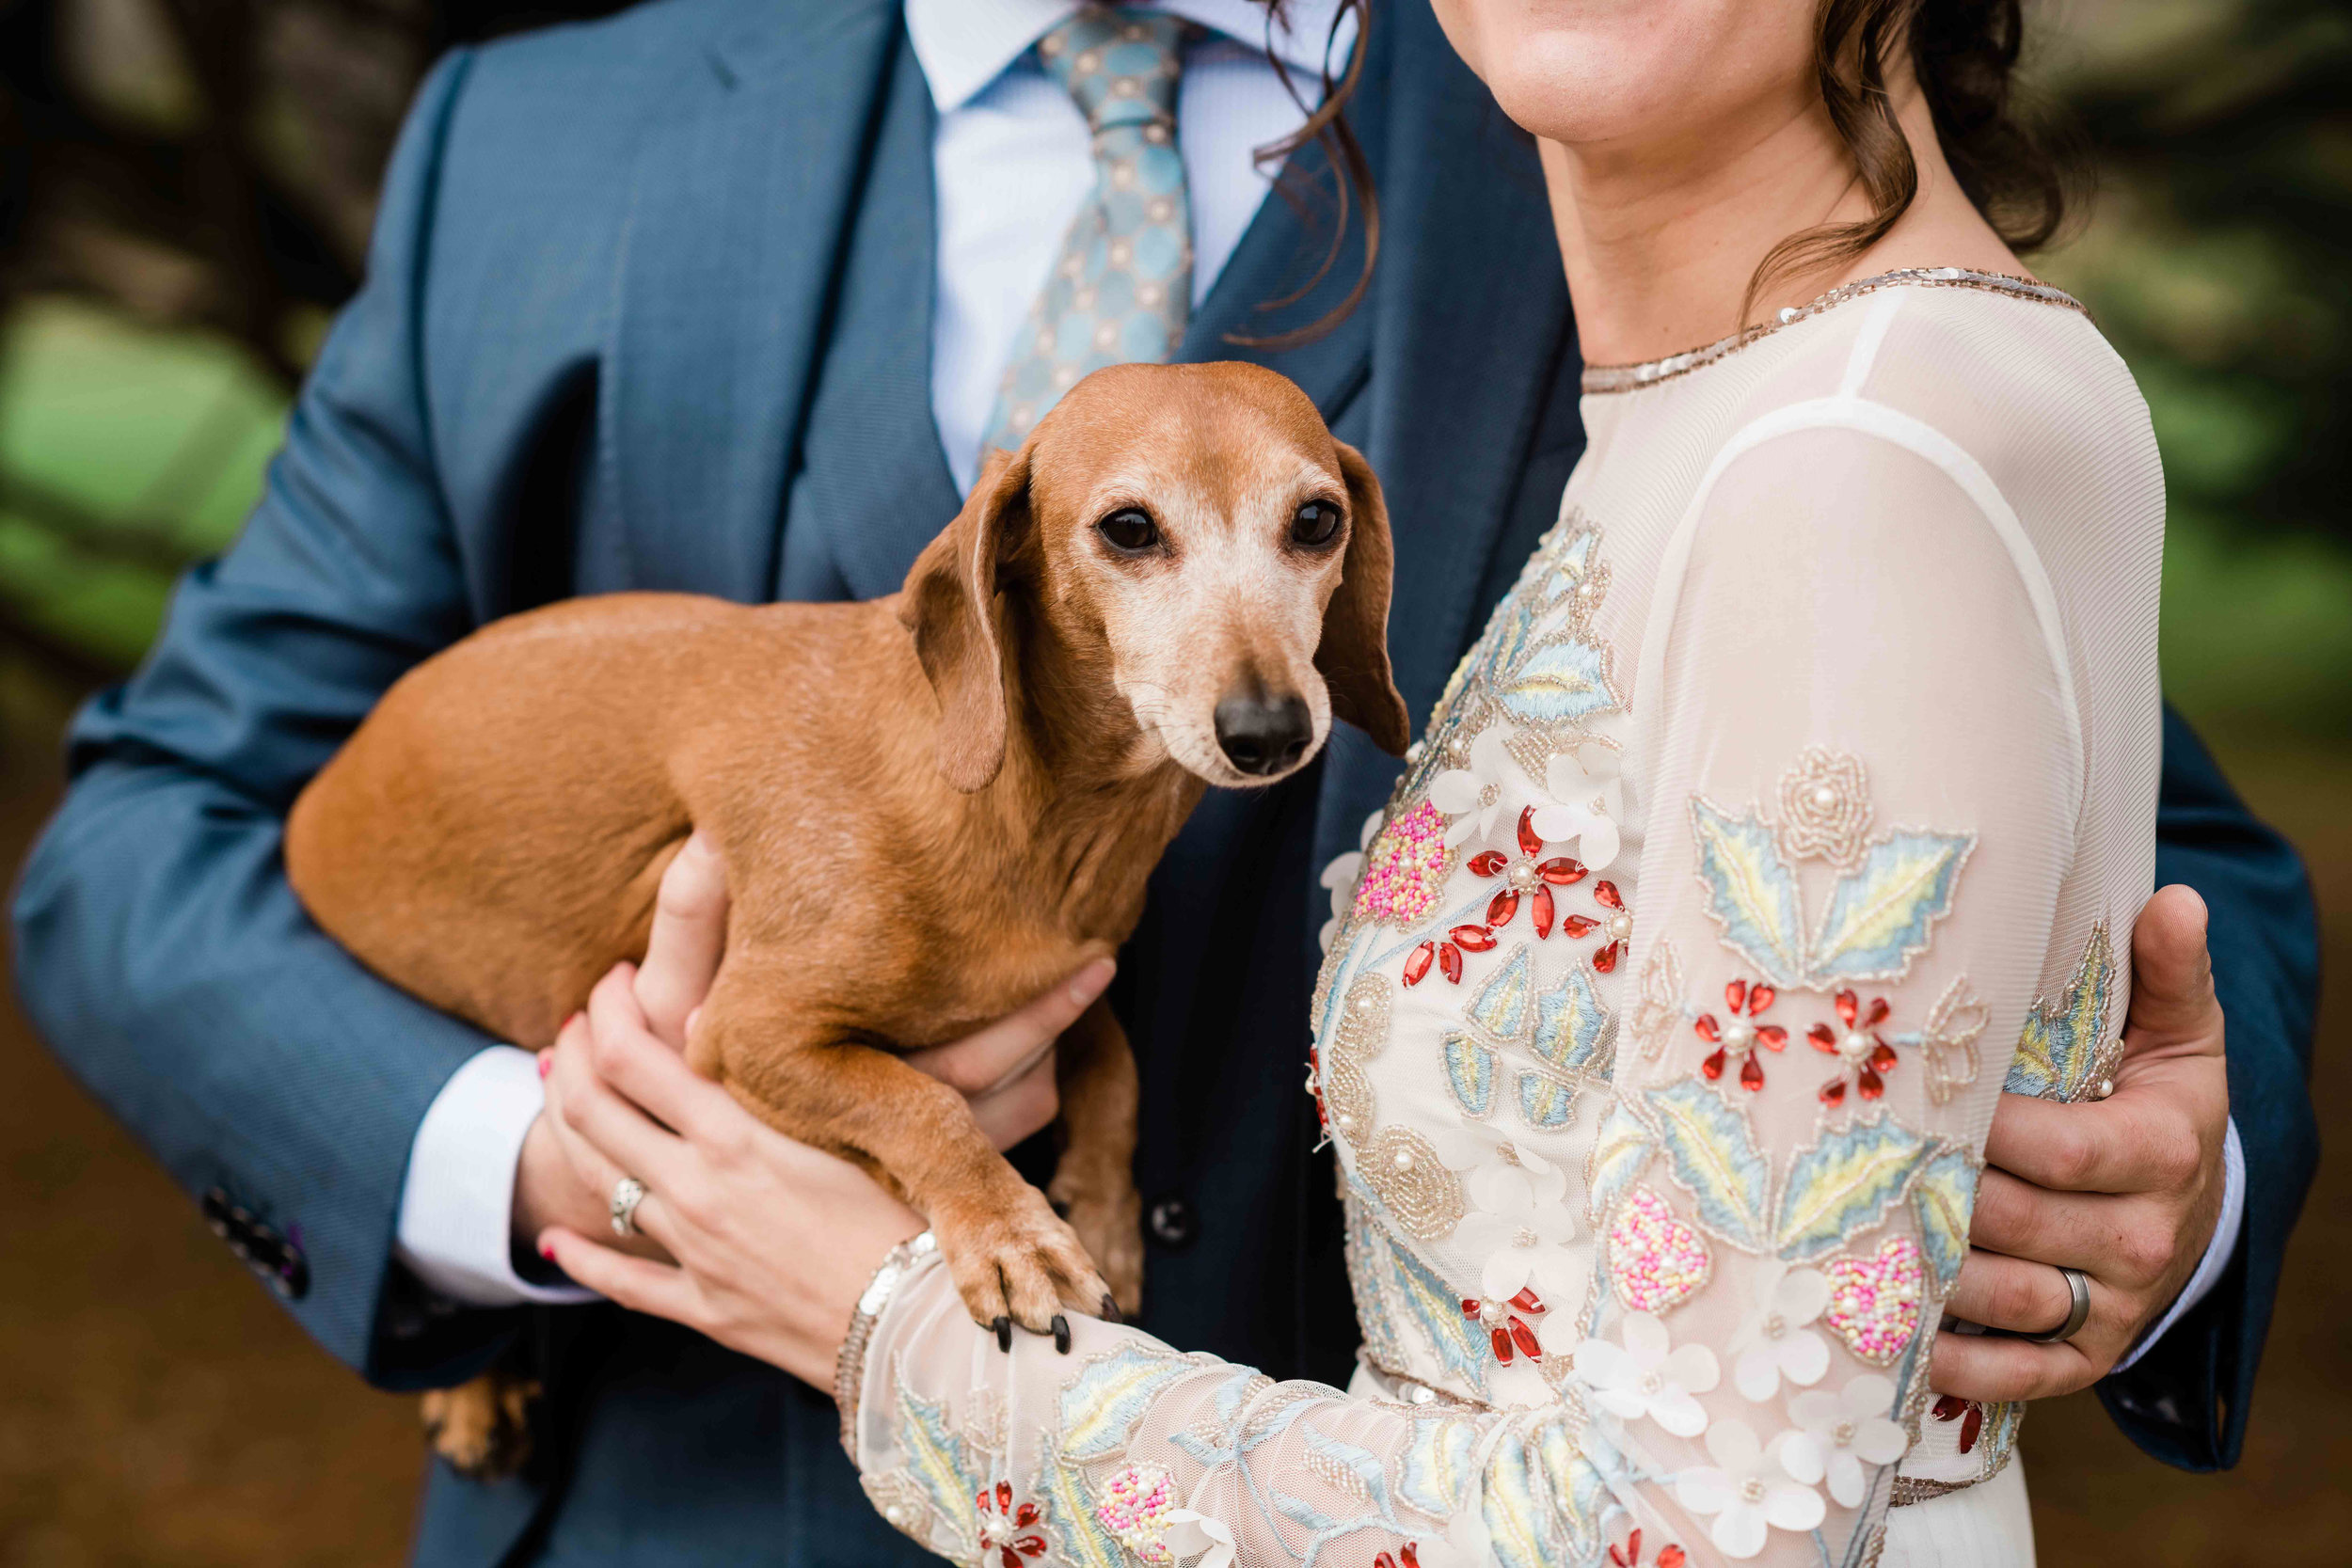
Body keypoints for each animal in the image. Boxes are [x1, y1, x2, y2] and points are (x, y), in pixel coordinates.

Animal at [284, 364, 1402, 1476]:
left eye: (1316, 519)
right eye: (1128, 527)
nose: (1269, 728)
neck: (1021, 808)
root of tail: (327, 789)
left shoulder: (1065, 979)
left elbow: (1114, 1068)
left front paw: (1104, 1207)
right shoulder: (745, 1034)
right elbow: (922, 1105)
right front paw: (1010, 1232)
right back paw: (471, 1391)